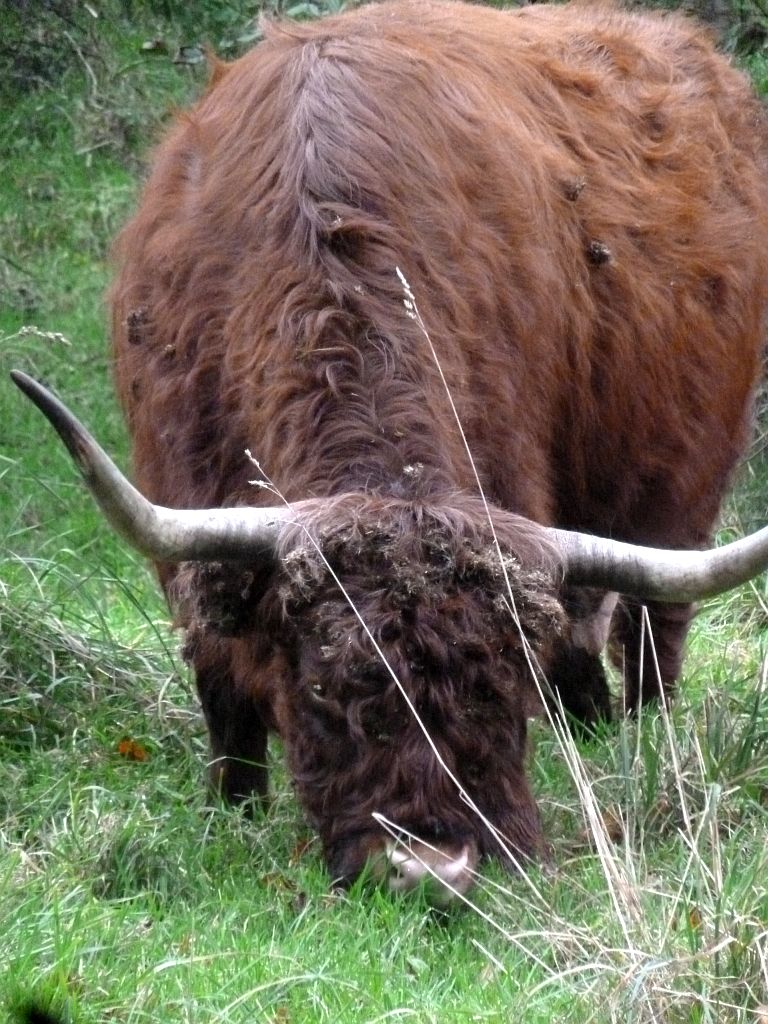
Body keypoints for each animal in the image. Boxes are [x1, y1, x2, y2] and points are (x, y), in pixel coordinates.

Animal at [10, 2, 768, 905]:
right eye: (322, 684)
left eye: (498, 687)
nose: (430, 866)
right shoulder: (182, 506)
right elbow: (223, 688)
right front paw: (232, 810)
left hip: (683, 492)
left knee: (654, 631)